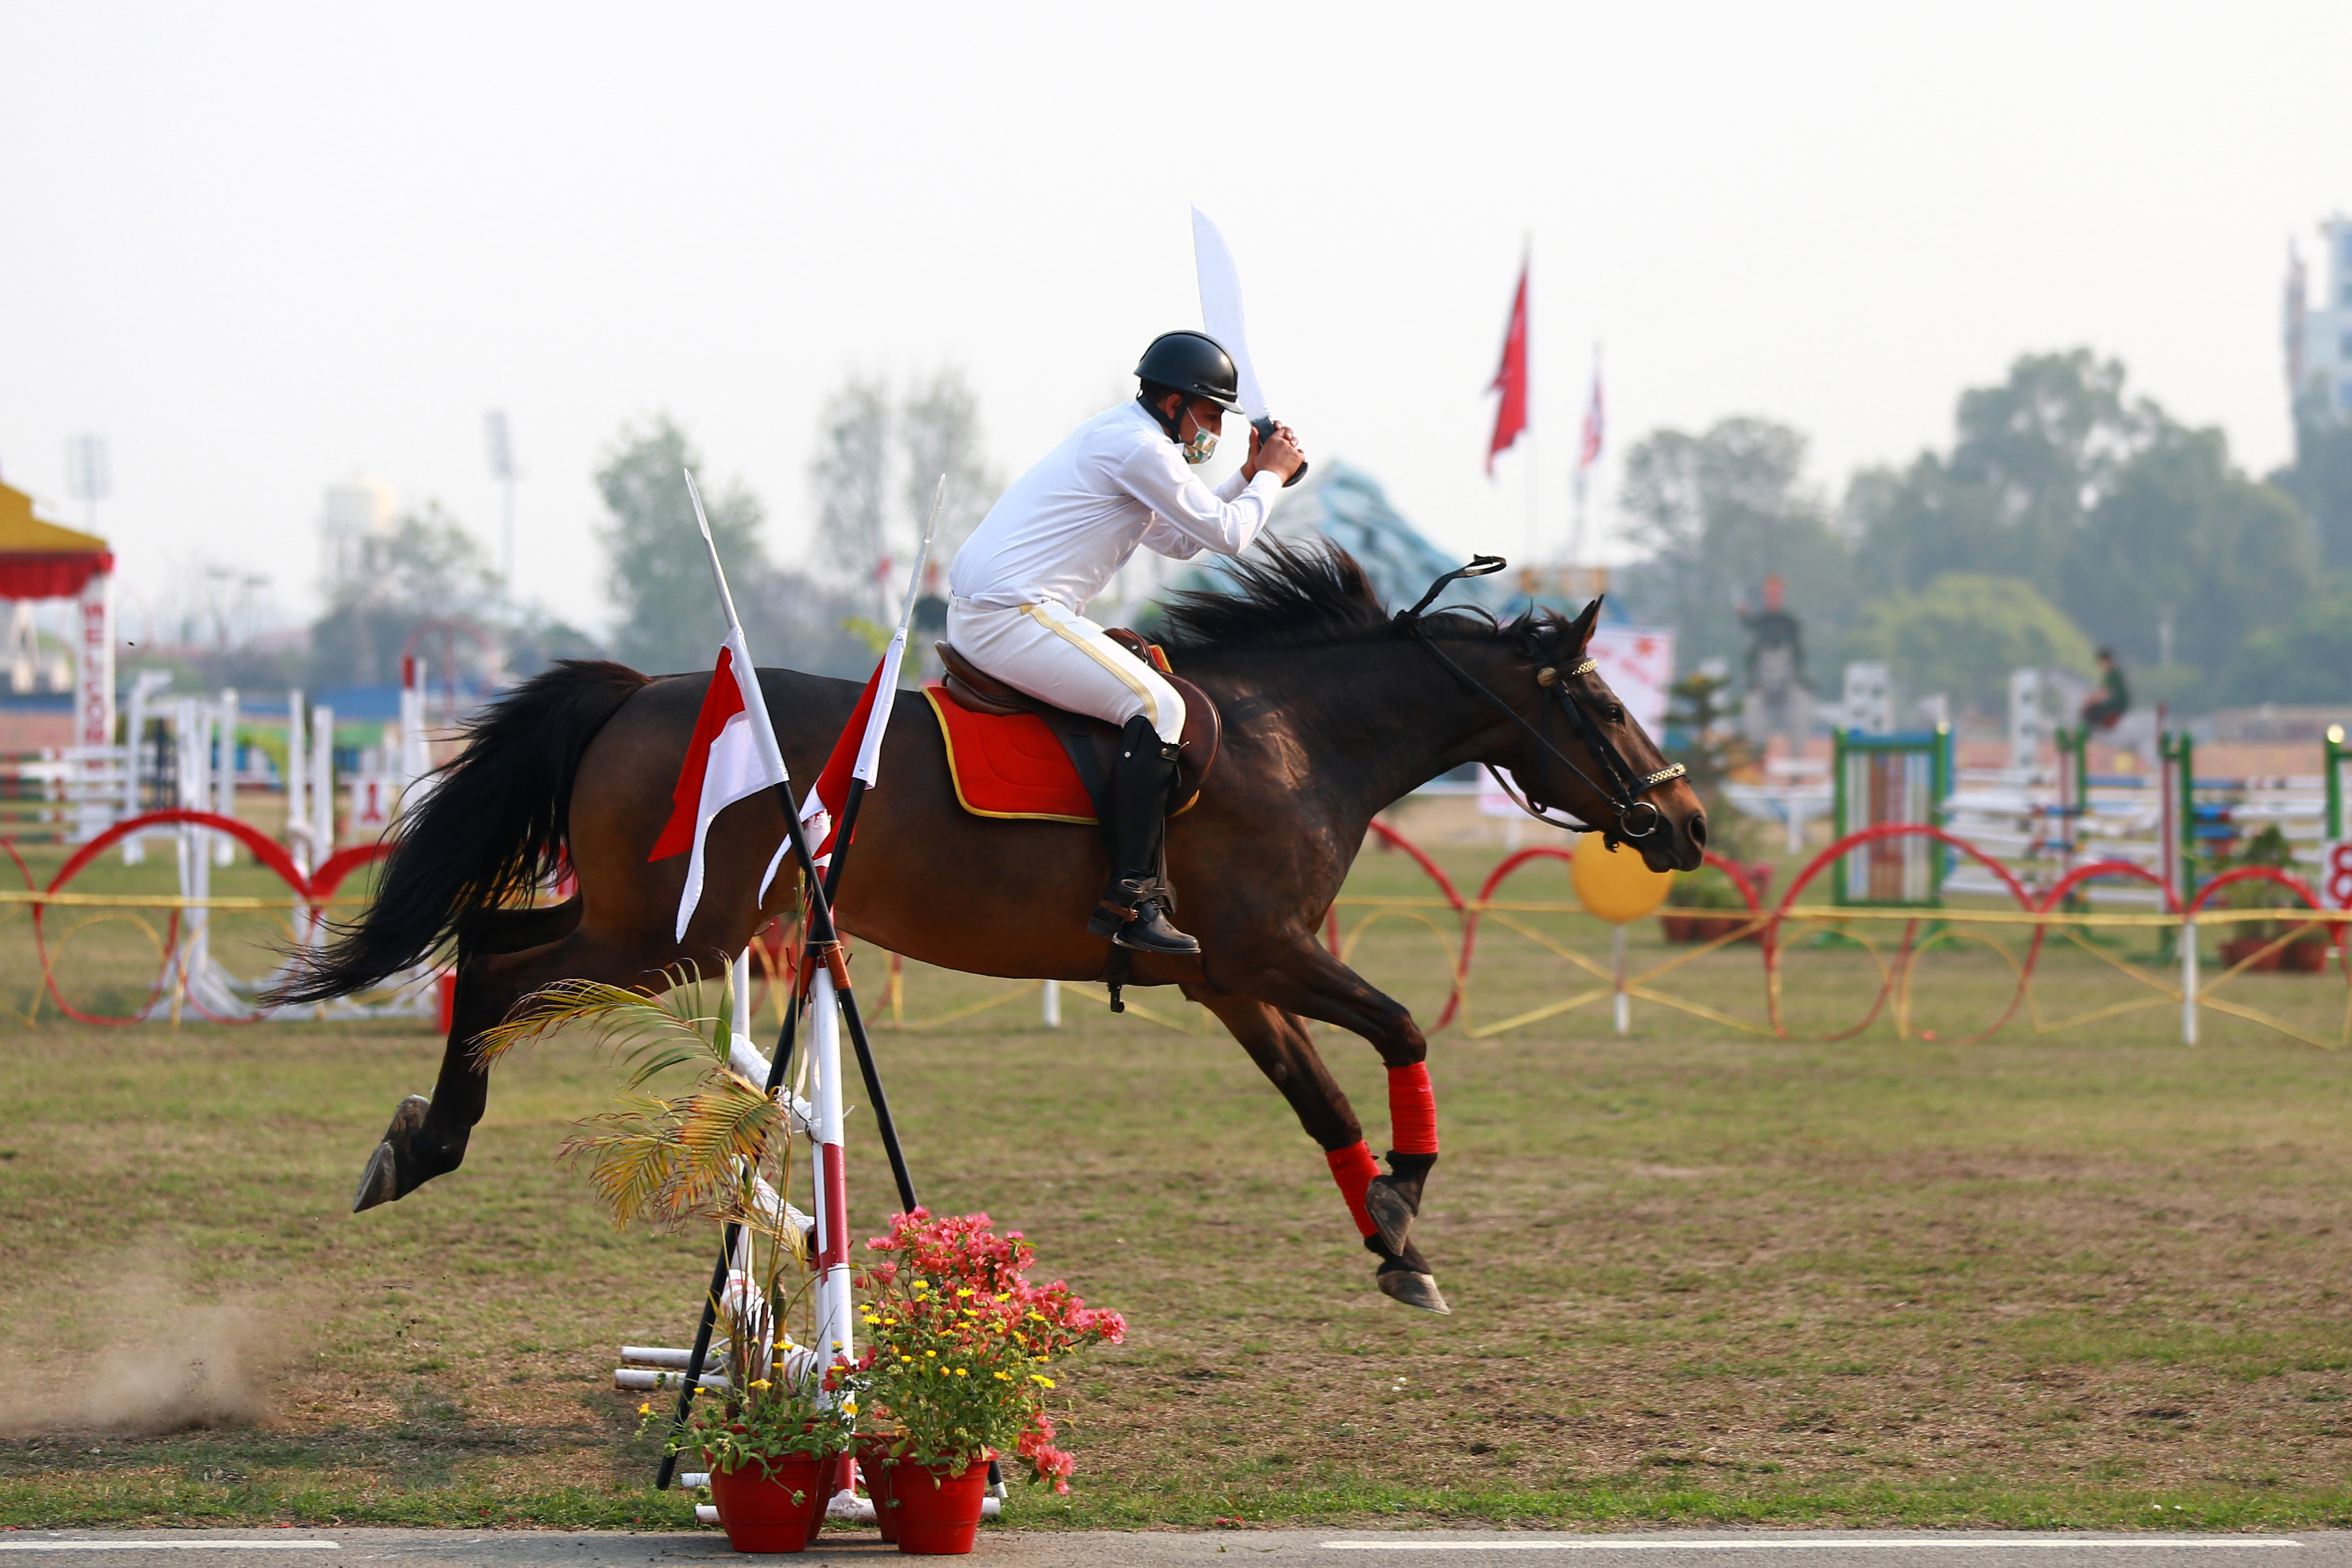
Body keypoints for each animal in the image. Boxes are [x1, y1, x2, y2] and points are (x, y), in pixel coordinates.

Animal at [280, 543, 1712, 1316]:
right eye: (1603, 704)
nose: (1689, 826)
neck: (1295, 737)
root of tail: (641, 693)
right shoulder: (1269, 954)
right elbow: (1405, 1031)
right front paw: (1408, 1202)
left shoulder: (1234, 983)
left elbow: (1326, 1105)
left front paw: (1395, 1240)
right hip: (666, 933)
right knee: (496, 963)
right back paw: (425, 1144)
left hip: (648, 918)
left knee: (492, 949)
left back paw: (419, 1140)